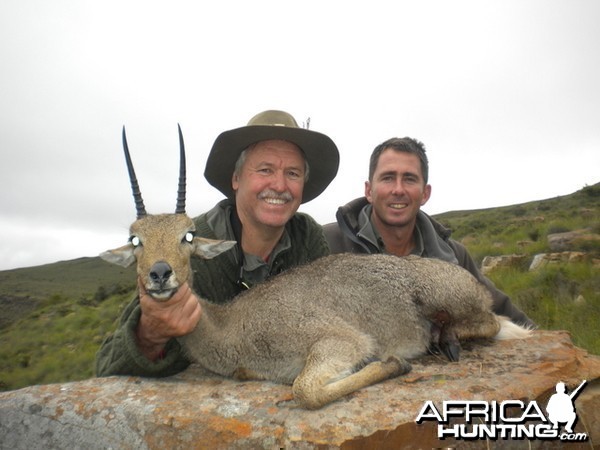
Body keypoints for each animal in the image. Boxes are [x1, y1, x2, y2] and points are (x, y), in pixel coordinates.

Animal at [102, 125, 528, 408]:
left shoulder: (340, 341)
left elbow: (305, 391)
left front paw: (393, 362)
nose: (160, 274)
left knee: (491, 323)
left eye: (188, 235)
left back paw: (445, 340)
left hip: (443, 298)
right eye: (135, 239)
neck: (230, 328)